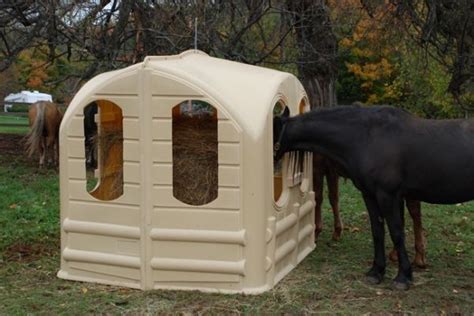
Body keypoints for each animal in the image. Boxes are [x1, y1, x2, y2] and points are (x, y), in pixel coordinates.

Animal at [272, 105, 474, 288]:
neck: (367, 138)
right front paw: (376, 272)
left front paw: (403, 277)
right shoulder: (370, 195)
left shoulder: (388, 196)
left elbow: (396, 232)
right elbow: (378, 231)